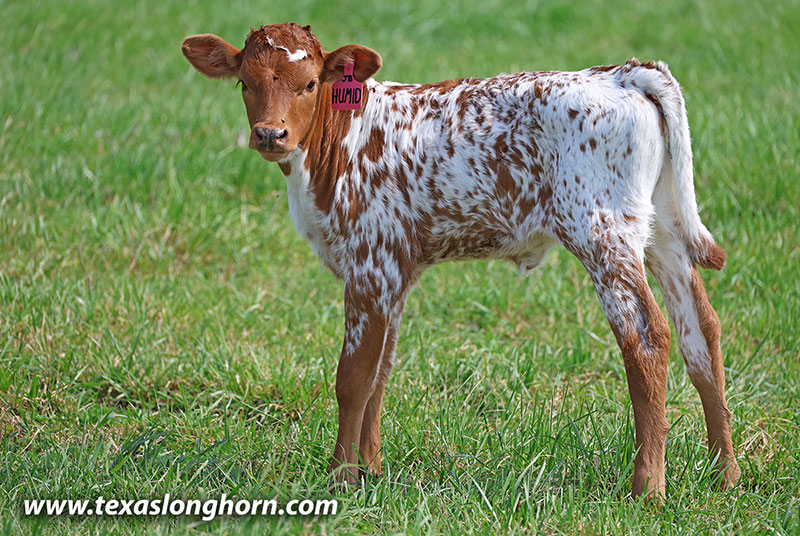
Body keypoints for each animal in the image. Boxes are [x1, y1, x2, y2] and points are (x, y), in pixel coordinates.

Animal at [181, 22, 740, 498]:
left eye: (311, 83)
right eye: (245, 82)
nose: (269, 135)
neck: (338, 146)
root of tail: (623, 73)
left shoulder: (369, 263)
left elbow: (353, 378)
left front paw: (340, 478)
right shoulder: (396, 271)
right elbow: (380, 373)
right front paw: (371, 471)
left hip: (602, 232)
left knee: (647, 338)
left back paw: (648, 487)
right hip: (663, 229)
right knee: (701, 331)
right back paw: (725, 474)